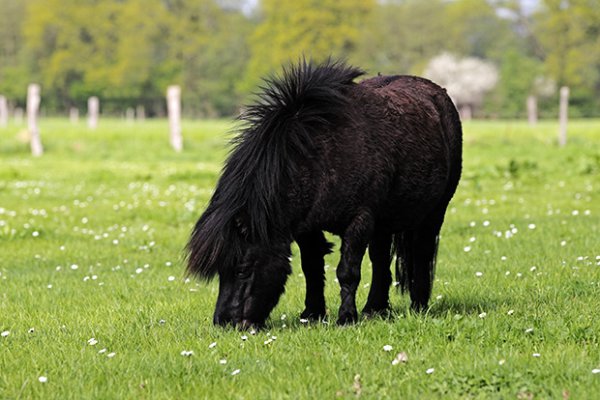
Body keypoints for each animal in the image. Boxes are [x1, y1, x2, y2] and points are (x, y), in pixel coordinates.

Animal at [188, 60, 464, 328]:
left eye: (243, 269)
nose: (224, 322)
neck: (320, 155)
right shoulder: (307, 227)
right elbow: (311, 267)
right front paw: (312, 314)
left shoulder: (359, 221)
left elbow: (347, 272)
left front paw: (346, 318)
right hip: (384, 223)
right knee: (380, 261)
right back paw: (375, 309)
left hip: (433, 213)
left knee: (422, 254)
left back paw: (417, 305)